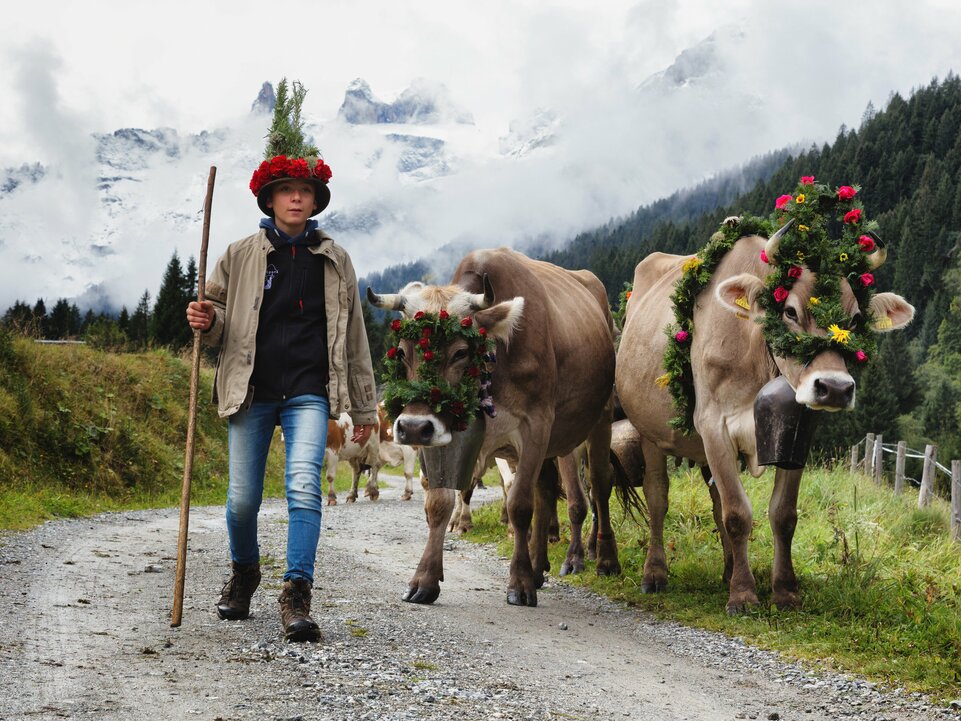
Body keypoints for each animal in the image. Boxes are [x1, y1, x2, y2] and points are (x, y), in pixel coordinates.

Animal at [368, 245, 632, 604]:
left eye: (461, 352)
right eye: (402, 352)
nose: (411, 427)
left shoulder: (536, 424)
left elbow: (519, 504)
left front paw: (518, 584)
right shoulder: (443, 433)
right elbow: (438, 503)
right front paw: (424, 579)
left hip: (597, 419)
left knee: (599, 485)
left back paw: (603, 560)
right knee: (545, 490)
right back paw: (537, 566)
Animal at [616, 177, 916, 612]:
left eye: (856, 318)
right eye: (789, 311)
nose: (835, 388)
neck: (755, 354)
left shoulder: (798, 430)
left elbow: (781, 514)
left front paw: (784, 590)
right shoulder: (713, 425)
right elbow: (738, 514)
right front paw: (743, 596)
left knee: (715, 501)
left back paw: (727, 570)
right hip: (649, 431)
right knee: (659, 497)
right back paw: (655, 573)